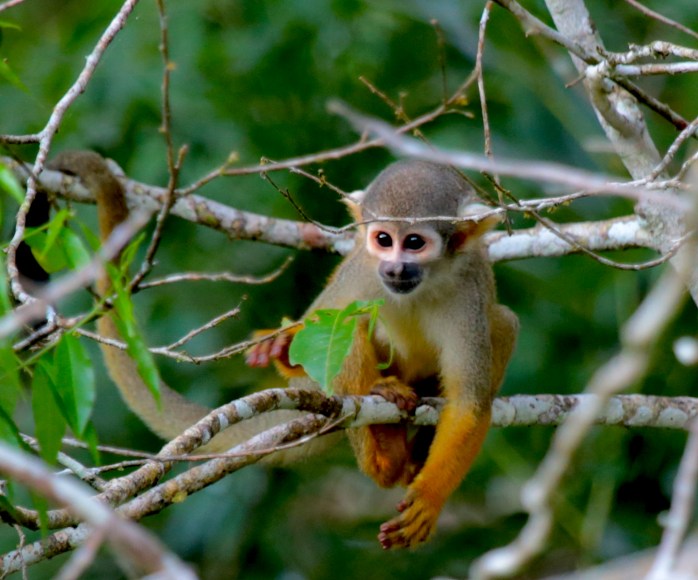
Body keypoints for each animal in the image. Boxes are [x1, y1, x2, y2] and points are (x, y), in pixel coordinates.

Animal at [247, 159, 519, 549]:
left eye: (414, 243)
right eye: (384, 240)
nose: (394, 268)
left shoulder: (468, 290)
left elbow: (470, 404)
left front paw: (430, 498)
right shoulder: (360, 270)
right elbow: (319, 333)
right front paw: (281, 348)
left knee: (505, 322)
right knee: (349, 324)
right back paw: (384, 449)